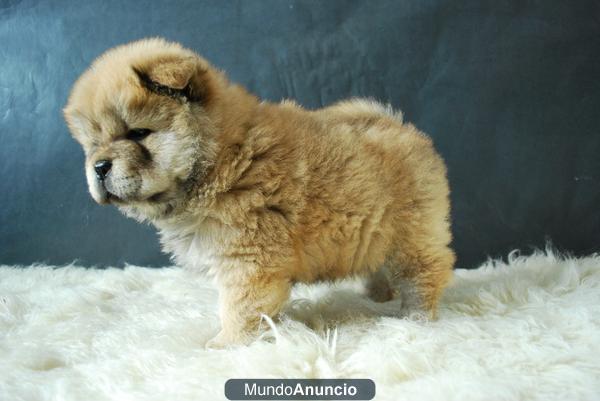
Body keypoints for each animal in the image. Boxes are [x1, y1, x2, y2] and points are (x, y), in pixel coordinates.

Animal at [64, 38, 454, 346]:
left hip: (412, 235)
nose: (99, 166)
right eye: (93, 144)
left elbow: (239, 308)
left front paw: (226, 344)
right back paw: (378, 295)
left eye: (138, 133)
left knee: (427, 271)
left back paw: (416, 317)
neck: (222, 158)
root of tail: (401, 127)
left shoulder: (247, 260)